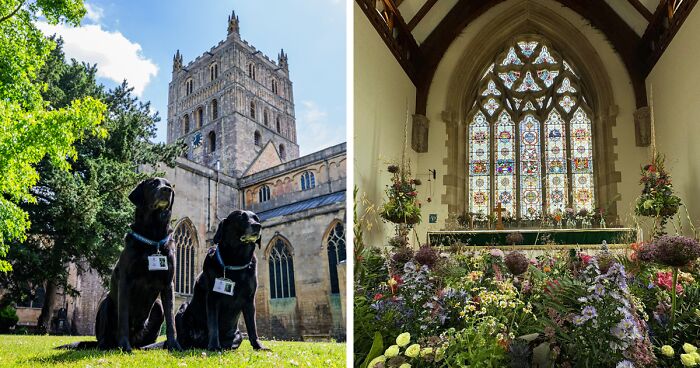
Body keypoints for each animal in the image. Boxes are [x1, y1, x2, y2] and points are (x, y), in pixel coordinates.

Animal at [59, 180, 182, 352]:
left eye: (169, 184)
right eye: (152, 184)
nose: (166, 190)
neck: (153, 237)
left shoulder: (168, 284)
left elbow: (171, 320)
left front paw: (173, 345)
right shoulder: (125, 282)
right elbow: (123, 317)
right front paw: (124, 345)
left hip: (157, 307)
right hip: (106, 303)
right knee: (104, 340)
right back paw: (112, 345)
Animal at [176, 210, 270, 350]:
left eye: (256, 218)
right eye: (241, 217)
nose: (258, 226)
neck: (236, 261)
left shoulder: (249, 300)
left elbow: (252, 327)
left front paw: (258, 346)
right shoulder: (212, 298)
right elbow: (213, 325)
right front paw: (214, 346)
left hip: (238, 335)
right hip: (182, 309)